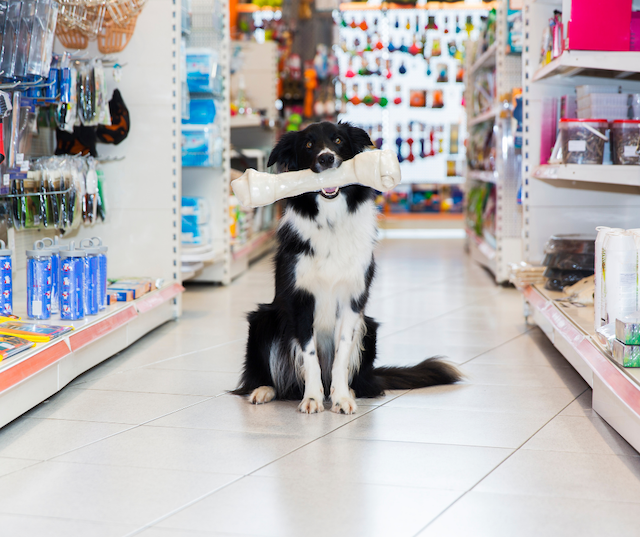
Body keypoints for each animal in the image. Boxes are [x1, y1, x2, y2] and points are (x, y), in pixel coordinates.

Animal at [232, 121, 462, 414]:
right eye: (308, 145)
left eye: (338, 140)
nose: (326, 158)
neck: (330, 220)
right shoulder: (300, 301)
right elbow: (309, 356)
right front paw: (312, 398)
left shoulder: (352, 301)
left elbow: (341, 355)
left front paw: (340, 397)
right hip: (264, 318)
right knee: (274, 378)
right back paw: (264, 390)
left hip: (370, 328)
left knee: (364, 382)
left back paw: (351, 390)